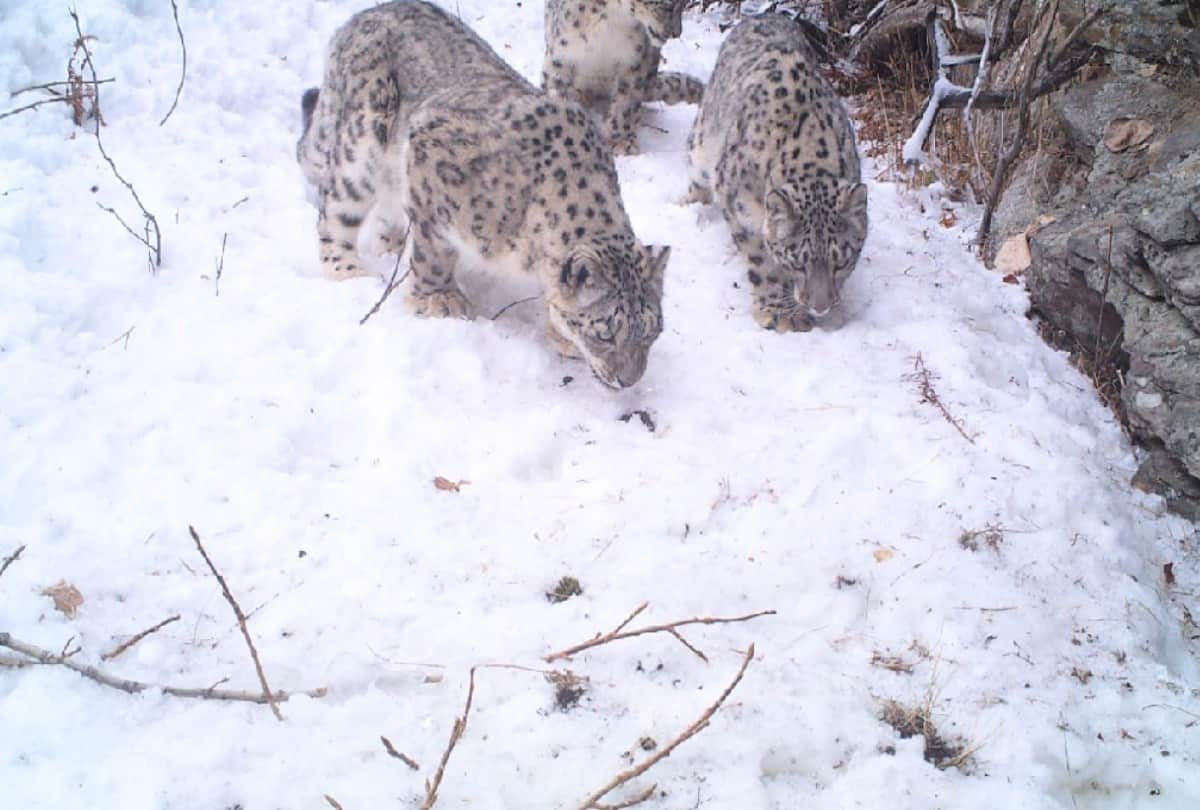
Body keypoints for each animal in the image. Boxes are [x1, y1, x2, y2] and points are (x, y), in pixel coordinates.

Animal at [296, 0, 670, 389]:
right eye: (605, 333)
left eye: (651, 332)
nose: (629, 380)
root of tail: (364, 15)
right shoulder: (431, 163)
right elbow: (434, 253)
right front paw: (438, 300)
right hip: (361, 143)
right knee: (335, 208)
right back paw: (346, 270)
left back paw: (392, 242)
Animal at [543, 0, 704, 155]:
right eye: (668, 7)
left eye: (683, 4)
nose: (676, 33)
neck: (612, 17)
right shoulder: (562, 57)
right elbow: (556, 94)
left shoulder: (634, 61)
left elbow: (625, 104)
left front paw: (621, 141)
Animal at [686, 13, 868, 332]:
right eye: (798, 263)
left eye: (842, 261)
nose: (820, 307)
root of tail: (763, 15)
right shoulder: (740, 207)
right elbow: (763, 263)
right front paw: (778, 311)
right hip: (703, 140)